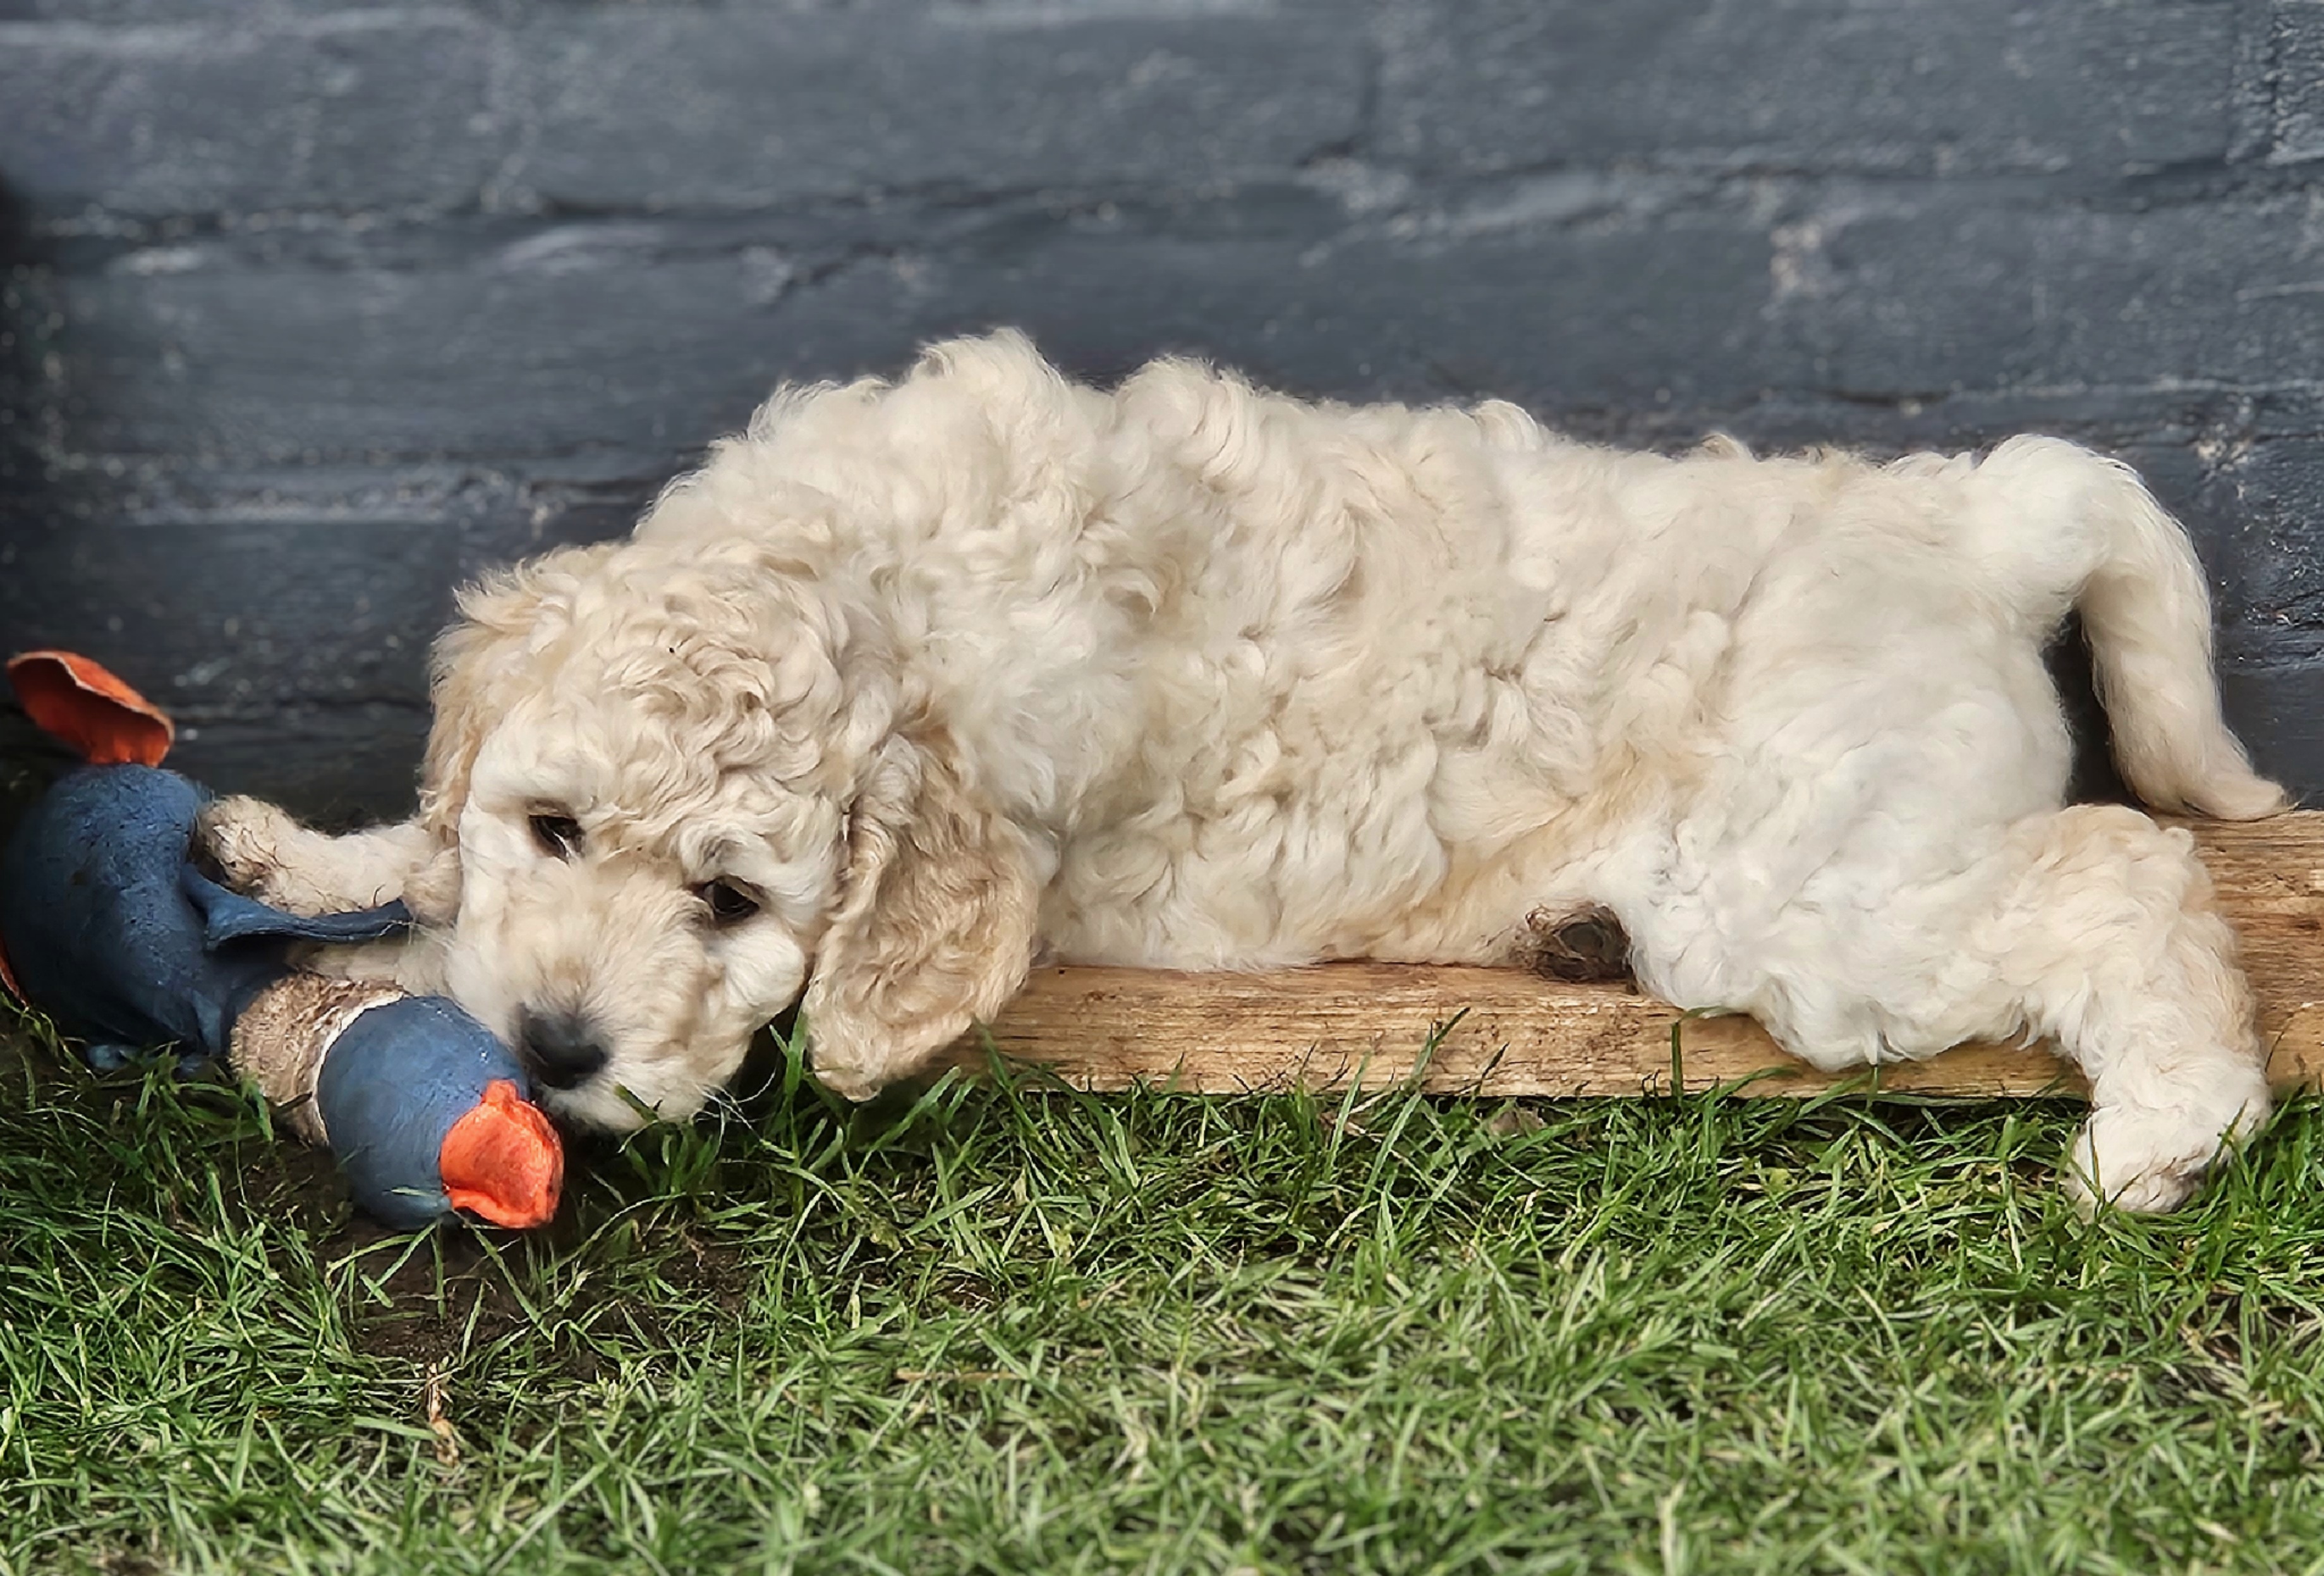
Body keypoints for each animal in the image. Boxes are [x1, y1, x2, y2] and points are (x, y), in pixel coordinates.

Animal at [214, 332, 2287, 1218]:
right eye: (554, 825)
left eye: (731, 903)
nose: (554, 1053)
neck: (862, 573)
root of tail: (1971, 523)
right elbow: (431, 871)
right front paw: (306, 850)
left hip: (1809, 895)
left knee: (2116, 874)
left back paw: (2163, 1131)